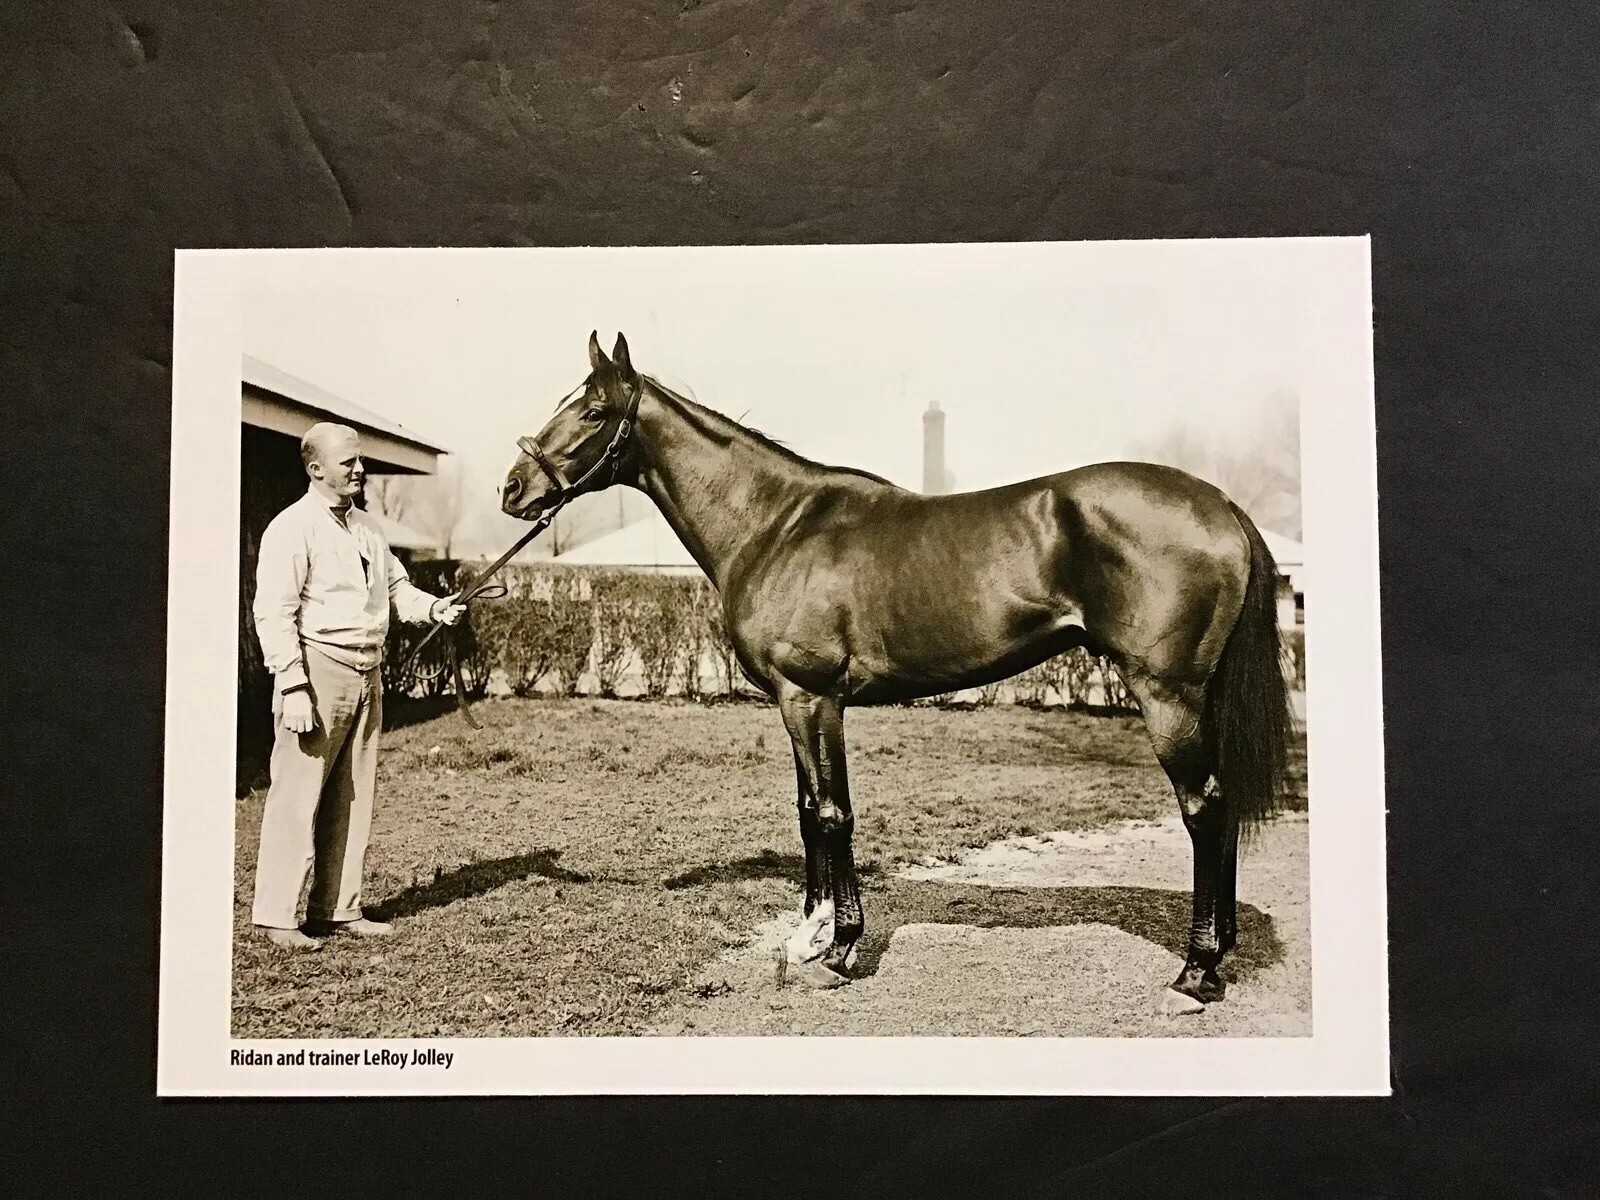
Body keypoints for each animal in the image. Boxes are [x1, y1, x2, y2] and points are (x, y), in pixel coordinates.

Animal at [502, 332, 1292, 1009]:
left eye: (594, 411)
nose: (514, 487)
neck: (776, 525)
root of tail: (1219, 504)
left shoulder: (810, 697)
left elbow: (831, 814)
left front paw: (842, 950)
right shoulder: (800, 702)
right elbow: (810, 812)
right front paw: (810, 933)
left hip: (1168, 696)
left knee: (1203, 808)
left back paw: (1195, 972)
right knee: (1219, 806)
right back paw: (1217, 954)